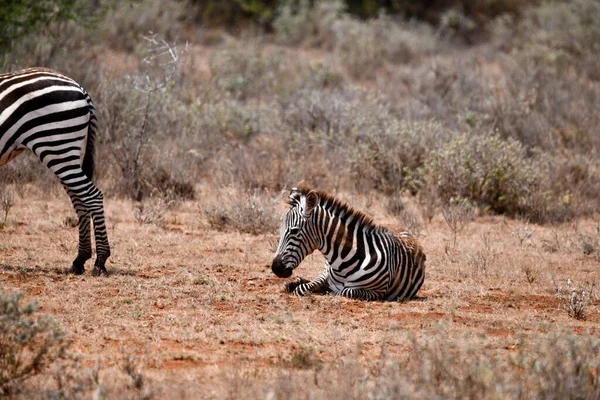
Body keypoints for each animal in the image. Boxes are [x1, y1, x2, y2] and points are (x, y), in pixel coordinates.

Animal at [0, 68, 110, 276]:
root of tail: (80, 88)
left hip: (57, 147)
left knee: (93, 196)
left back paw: (100, 261)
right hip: (65, 151)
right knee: (80, 200)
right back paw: (80, 259)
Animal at [272, 184, 426, 300]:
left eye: (294, 231)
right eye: (280, 230)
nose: (275, 268)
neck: (343, 263)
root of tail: (406, 234)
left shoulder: (377, 291)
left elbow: (344, 291)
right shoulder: (325, 275)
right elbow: (303, 288)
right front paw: (297, 284)